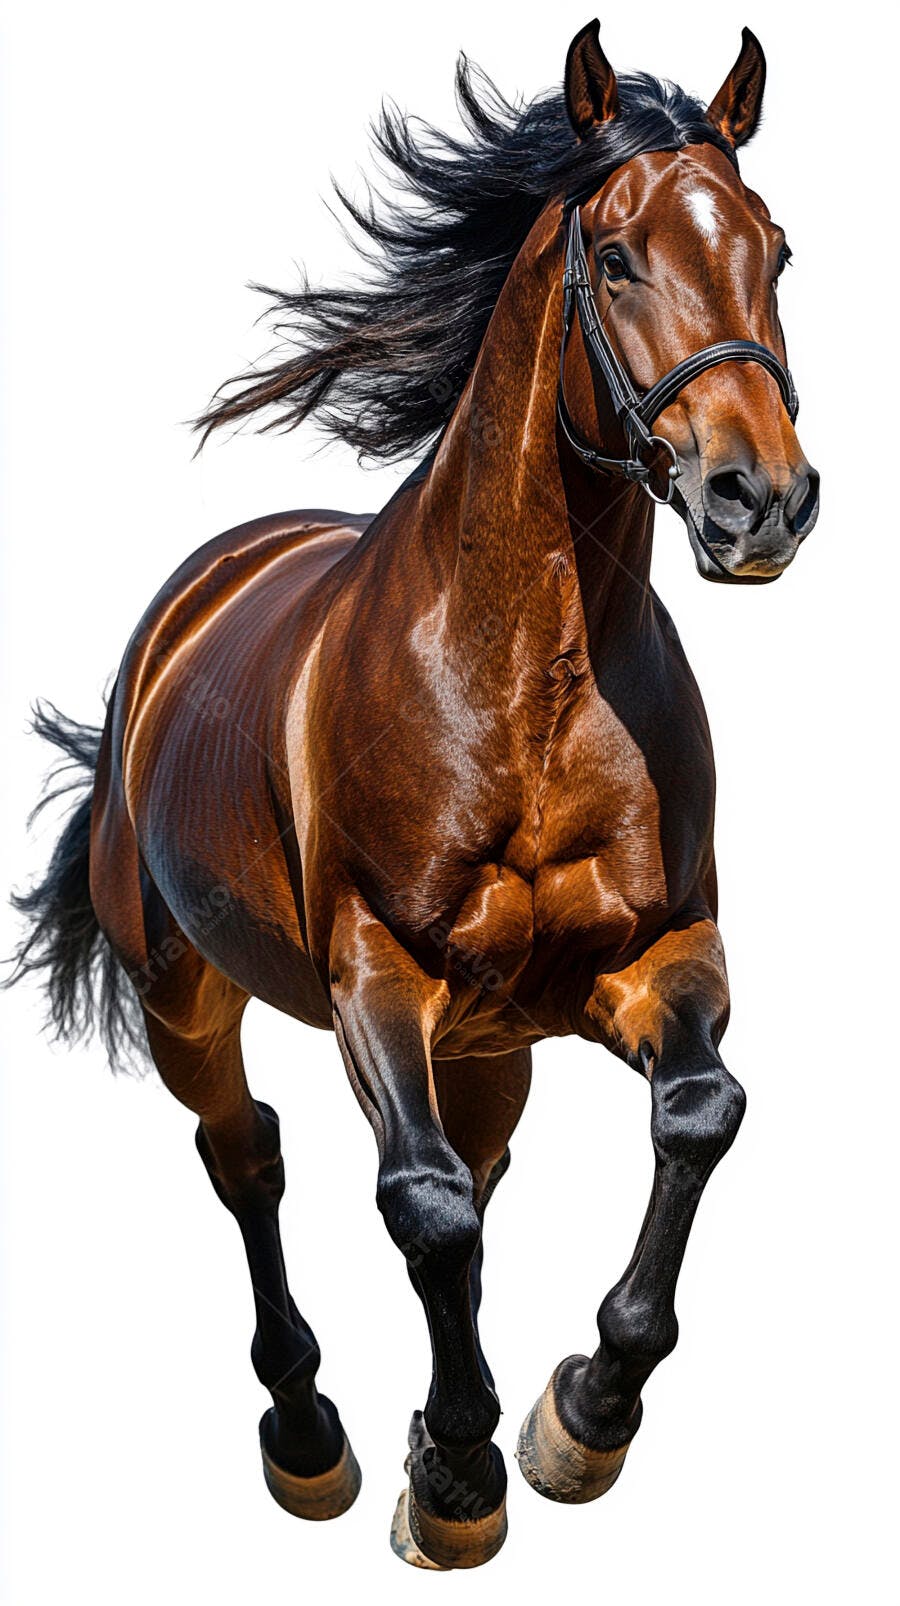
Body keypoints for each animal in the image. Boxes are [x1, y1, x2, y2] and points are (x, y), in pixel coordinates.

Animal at [10, 20, 819, 1571]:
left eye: (777, 248)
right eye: (616, 257)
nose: (762, 501)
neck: (525, 681)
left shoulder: (656, 955)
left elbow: (695, 1116)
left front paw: (577, 1414)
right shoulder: (378, 972)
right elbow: (425, 1205)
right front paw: (459, 1470)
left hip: (490, 1044)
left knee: (470, 1172)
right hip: (186, 993)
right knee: (249, 1158)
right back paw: (309, 1435)